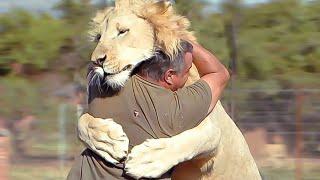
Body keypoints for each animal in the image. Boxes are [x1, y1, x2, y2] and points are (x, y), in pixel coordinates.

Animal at [79, 0, 262, 179]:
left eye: (122, 31)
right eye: (99, 37)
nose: (96, 61)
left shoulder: (210, 123)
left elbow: (195, 139)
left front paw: (147, 160)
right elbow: (83, 120)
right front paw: (107, 142)